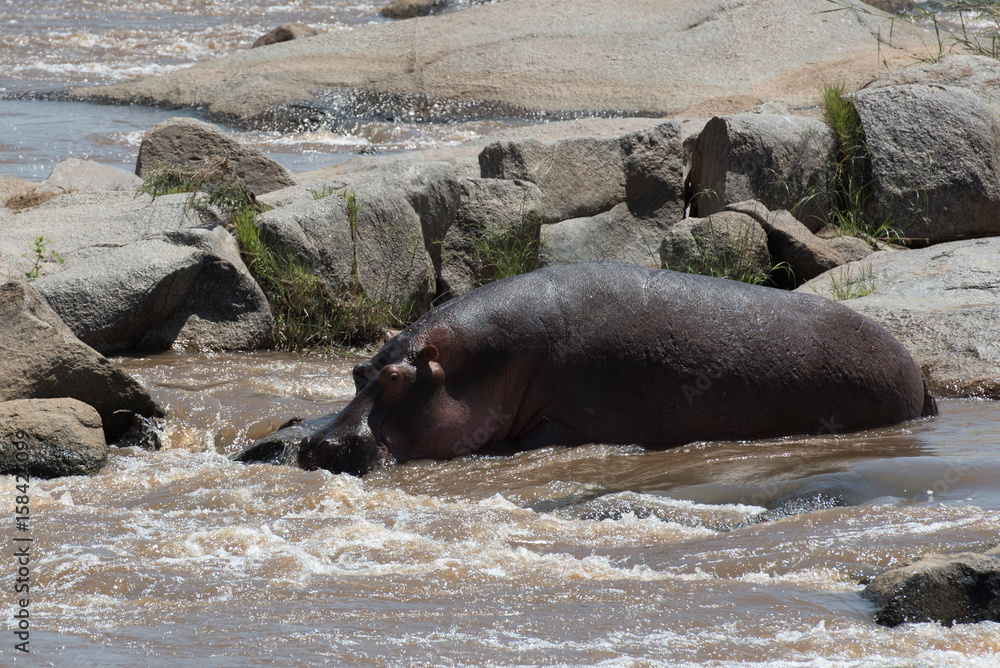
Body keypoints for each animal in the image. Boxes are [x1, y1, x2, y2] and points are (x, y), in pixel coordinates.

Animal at [298, 260, 936, 476]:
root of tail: (920, 371)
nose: (314, 444)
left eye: (397, 379)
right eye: (357, 371)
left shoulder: (568, 422)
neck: (477, 366)